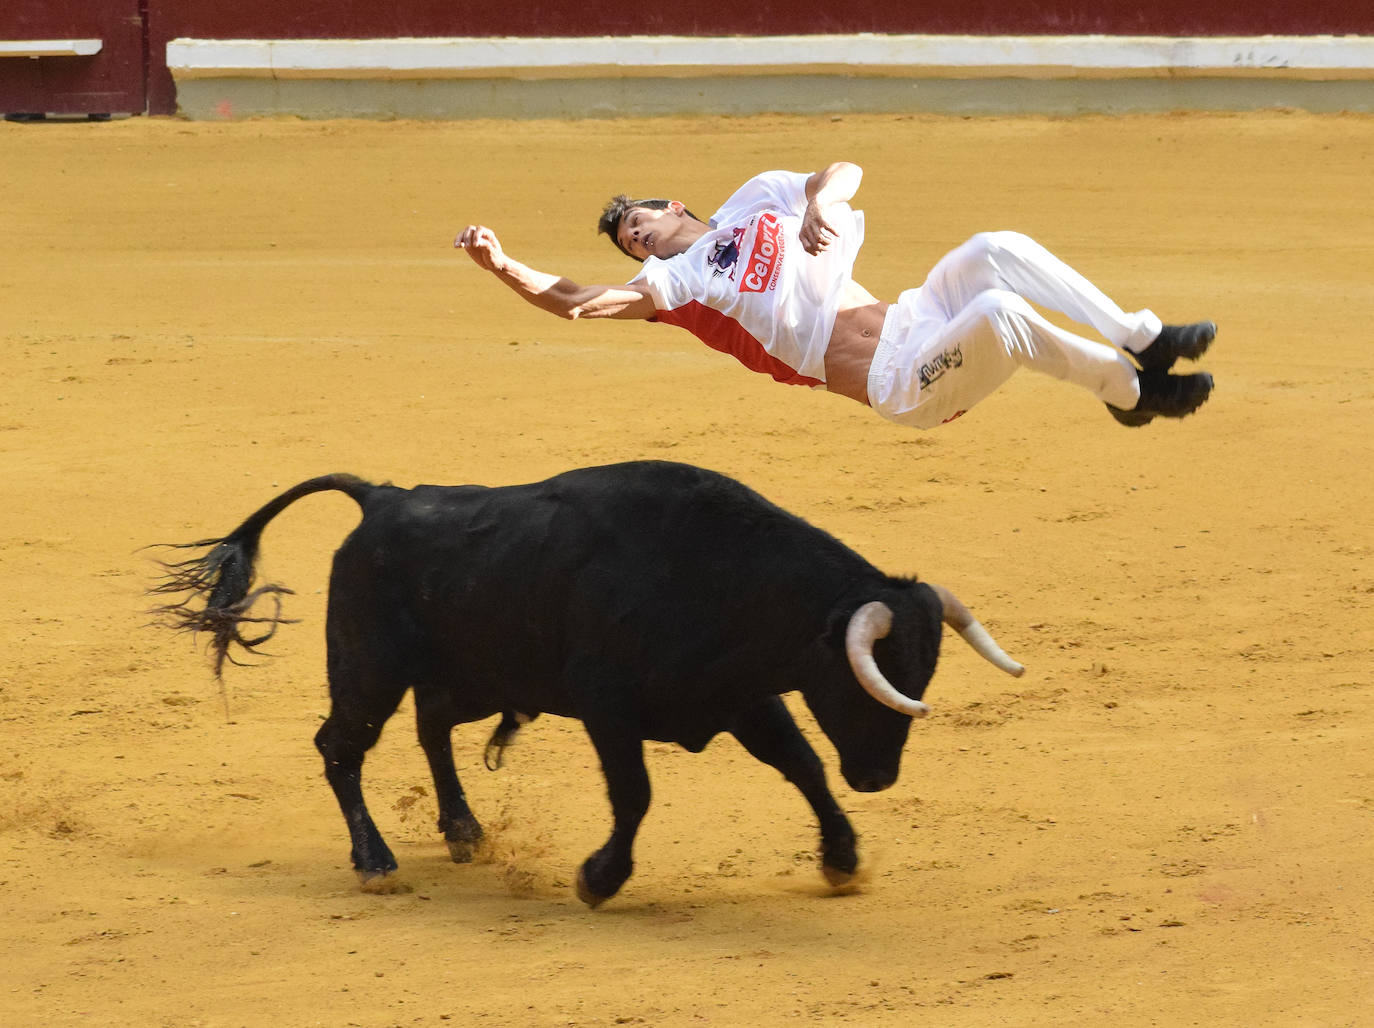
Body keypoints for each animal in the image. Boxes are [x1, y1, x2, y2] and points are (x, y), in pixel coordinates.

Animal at [150, 461, 1022, 901]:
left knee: (431, 727)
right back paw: (374, 863)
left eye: (924, 669)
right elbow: (634, 794)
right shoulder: (609, 706)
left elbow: (803, 766)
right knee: (341, 746)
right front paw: (599, 879)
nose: (877, 777)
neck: (725, 577)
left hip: (470, 674)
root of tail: (383, 499)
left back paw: (464, 831)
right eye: (864, 678)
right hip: (367, 667)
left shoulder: (743, 698)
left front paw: (842, 859)